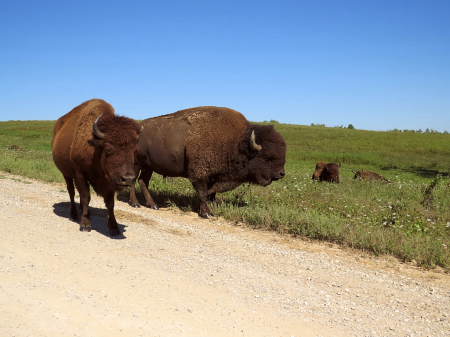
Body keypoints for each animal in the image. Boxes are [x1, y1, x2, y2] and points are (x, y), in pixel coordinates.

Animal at [50, 98, 141, 235]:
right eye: (108, 149)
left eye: (135, 151)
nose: (128, 179)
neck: (95, 150)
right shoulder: (80, 173)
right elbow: (85, 197)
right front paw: (85, 225)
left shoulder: (109, 180)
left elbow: (110, 203)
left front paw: (114, 228)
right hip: (66, 174)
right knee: (71, 192)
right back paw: (74, 215)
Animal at [128, 106, 286, 219]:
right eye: (267, 157)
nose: (281, 174)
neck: (236, 142)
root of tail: (137, 128)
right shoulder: (200, 175)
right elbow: (203, 194)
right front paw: (206, 213)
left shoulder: (213, 177)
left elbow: (211, 194)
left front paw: (211, 207)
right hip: (136, 164)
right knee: (133, 181)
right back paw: (135, 204)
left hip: (148, 167)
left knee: (143, 181)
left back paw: (153, 205)